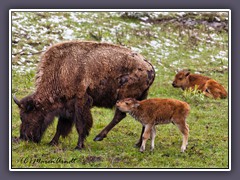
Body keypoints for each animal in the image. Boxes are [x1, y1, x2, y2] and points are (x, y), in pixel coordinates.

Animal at [13, 40, 155, 150]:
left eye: (25, 116)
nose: (24, 138)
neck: (61, 69)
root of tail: (150, 67)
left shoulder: (80, 102)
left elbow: (81, 125)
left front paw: (79, 146)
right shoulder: (67, 106)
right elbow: (61, 126)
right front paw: (52, 142)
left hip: (123, 97)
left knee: (119, 115)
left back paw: (99, 137)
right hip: (140, 98)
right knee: (142, 119)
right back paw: (137, 144)